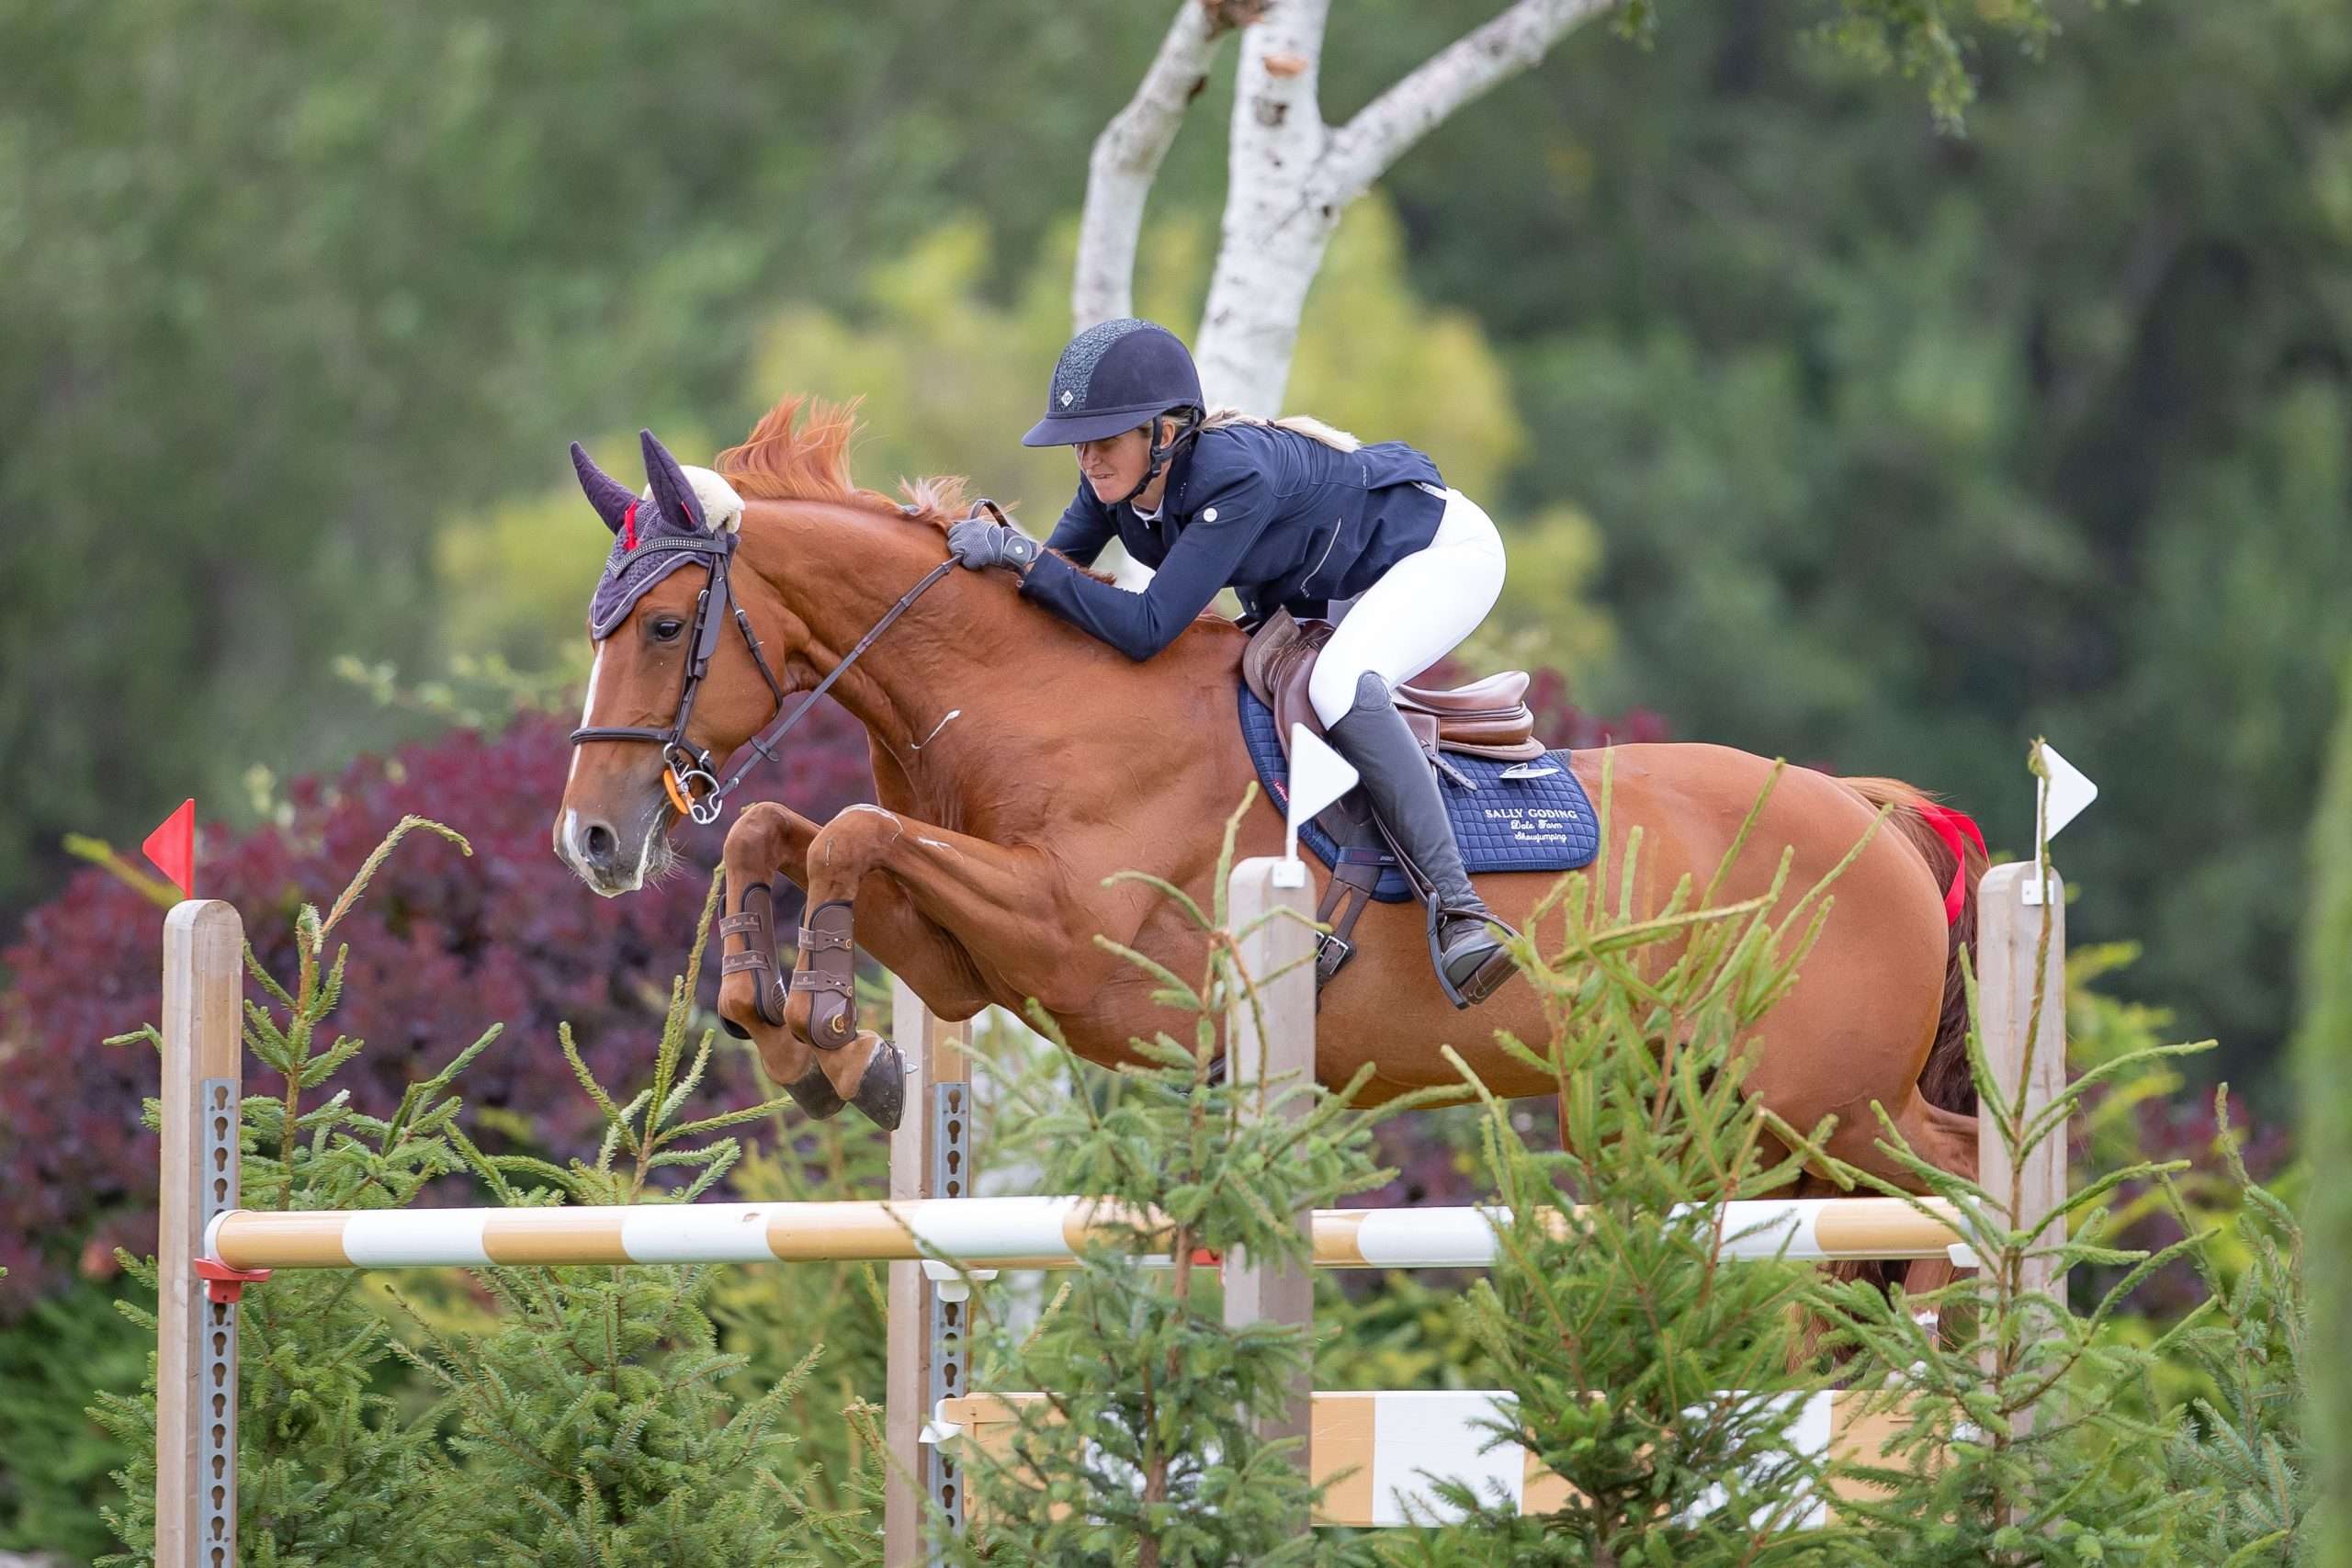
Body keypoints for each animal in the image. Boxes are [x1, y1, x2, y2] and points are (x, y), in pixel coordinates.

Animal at [555, 400, 1984, 1194]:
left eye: (668, 623)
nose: (592, 837)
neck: (1027, 699)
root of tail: (1872, 821)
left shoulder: (1080, 947)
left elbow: (848, 833)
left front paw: (826, 1029)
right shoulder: (973, 962)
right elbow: (785, 831)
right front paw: (806, 1040)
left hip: (1821, 1107)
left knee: (1959, 1180)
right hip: (1685, 1105)